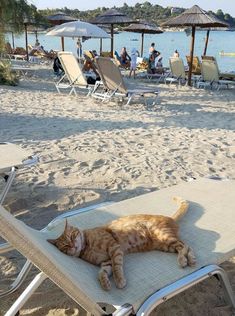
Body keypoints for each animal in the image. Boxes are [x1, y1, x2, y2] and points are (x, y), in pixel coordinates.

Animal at [47, 198, 195, 292]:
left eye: (72, 236)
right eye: (65, 247)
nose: (72, 246)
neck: (87, 247)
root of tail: (170, 218)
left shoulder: (114, 249)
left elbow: (117, 267)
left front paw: (119, 281)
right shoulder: (106, 262)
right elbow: (101, 273)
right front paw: (105, 283)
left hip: (163, 235)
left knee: (185, 245)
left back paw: (185, 260)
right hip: (165, 245)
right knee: (185, 246)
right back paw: (189, 259)